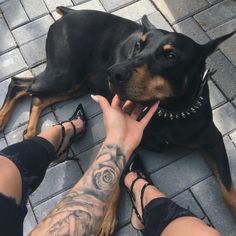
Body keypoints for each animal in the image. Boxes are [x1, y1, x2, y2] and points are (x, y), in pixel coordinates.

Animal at [0, 6, 235, 234]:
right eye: (138, 45)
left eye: (171, 55)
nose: (113, 73)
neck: (169, 110)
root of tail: (70, 13)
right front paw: (107, 218)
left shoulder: (213, 138)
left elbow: (228, 189)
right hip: (64, 74)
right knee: (19, 84)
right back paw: (5, 120)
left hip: (77, 84)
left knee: (36, 96)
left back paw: (30, 130)